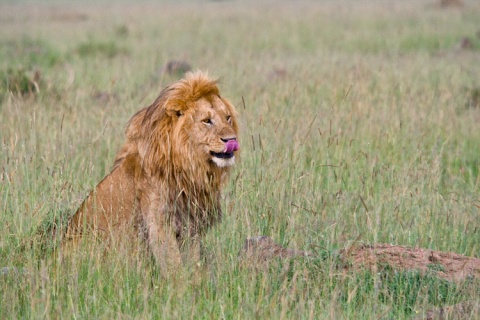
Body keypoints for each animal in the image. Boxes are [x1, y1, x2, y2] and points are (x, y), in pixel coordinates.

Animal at [64, 71, 240, 274]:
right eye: (207, 121)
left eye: (227, 118)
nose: (232, 140)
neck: (190, 166)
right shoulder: (159, 222)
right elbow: (173, 265)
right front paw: (182, 283)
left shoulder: (190, 223)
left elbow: (193, 261)